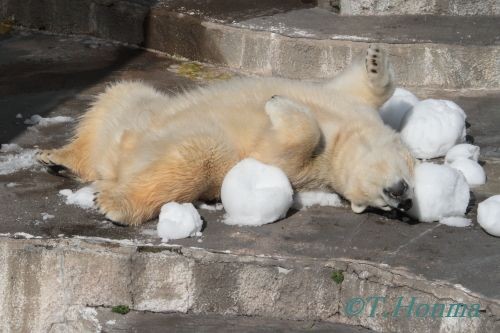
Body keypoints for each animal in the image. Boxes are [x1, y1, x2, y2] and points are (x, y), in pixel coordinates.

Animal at [38, 44, 414, 226]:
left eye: (384, 208)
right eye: (411, 178)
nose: (403, 199)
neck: (343, 136)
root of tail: (113, 165)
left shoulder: (308, 167)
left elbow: (279, 152)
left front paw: (276, 102)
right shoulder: (346, 105)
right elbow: (358, 88)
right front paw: (375, 59)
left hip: (205, 156)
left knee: (195, 155)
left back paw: (113, 203)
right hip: (140, 107)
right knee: (119, 95)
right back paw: (57, 158)